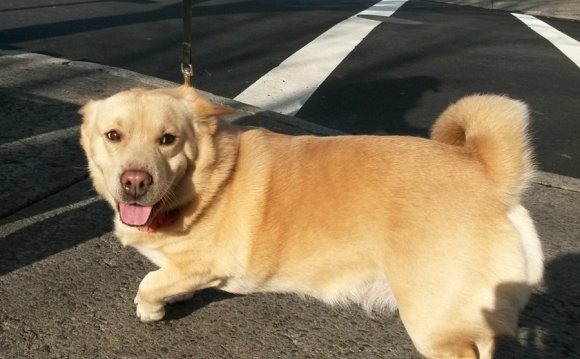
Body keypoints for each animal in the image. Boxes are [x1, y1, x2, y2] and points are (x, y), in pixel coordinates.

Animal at [80, 87, 544, 359]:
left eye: (168, 140)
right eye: (113, 136)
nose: (135, 181)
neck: (209, 180)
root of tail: (488, 171)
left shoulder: (207, 263)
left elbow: (149, 283)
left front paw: (151, 309)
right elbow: (164, 277)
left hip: (432, 323)